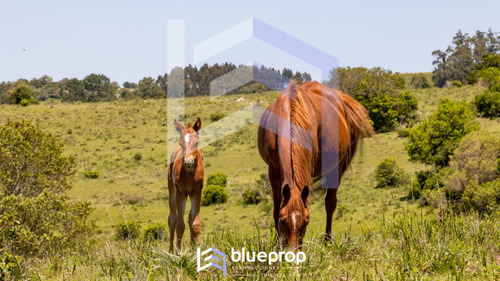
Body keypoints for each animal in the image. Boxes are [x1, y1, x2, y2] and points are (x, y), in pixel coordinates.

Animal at [168, 117, 203, 250]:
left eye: (196, 143)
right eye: (180, 143)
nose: (188, 162)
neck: (189, 175)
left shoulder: (197, 192)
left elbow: (195, 224)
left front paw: (197, 250)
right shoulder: (181, 193)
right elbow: (180, 226)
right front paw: (178, 252)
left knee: (189, 217)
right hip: (172, 191)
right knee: (172, 218)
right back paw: (171, 250)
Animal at [260, 80, 374, 246]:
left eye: (306, 221)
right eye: (282, 220)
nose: (293, 250)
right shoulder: (273, 169)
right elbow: (276, 206)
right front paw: (276, 243)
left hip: (336, 168)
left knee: (330, 203)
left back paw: (327, 240)